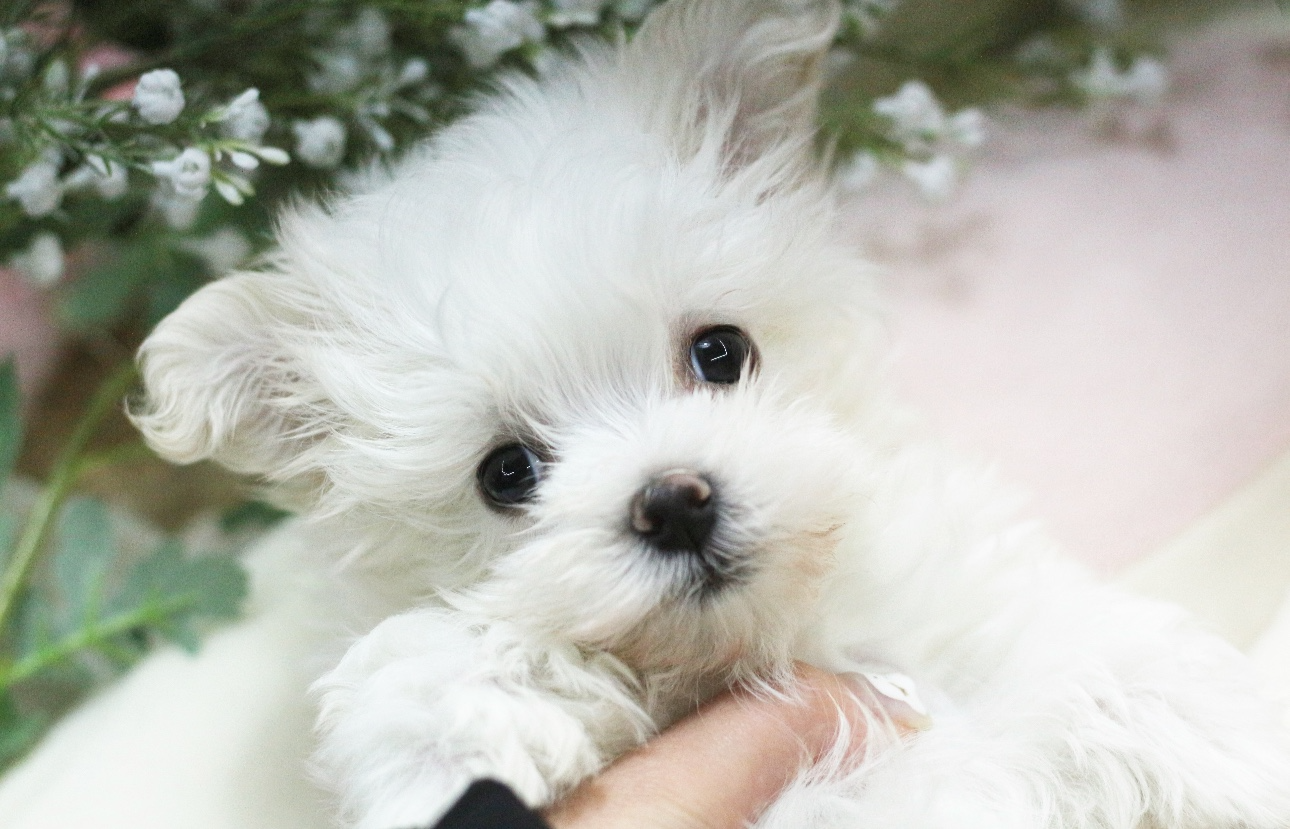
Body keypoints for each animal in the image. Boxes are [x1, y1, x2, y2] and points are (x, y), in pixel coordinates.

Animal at [131, 0, 1290, 826]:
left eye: (720, 352)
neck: (765, 645)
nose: (675, 500)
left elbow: (1107, 676)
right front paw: (464, 728)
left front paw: (1212, 740)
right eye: (506, 473)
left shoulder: (968, 598)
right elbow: (423, 671)